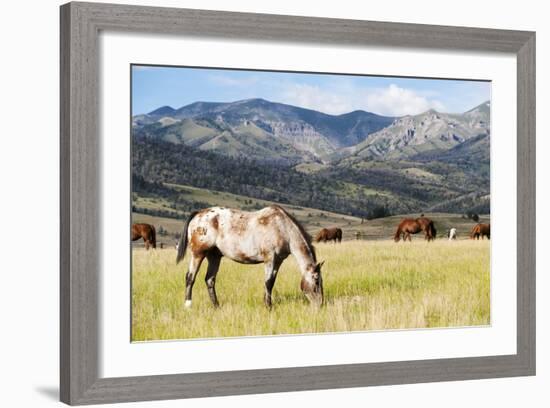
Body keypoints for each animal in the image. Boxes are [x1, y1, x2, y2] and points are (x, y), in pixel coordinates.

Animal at [176, 206, 324, 308]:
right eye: (316, 281)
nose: (320, 305)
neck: (282, 228)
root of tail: (198, 214)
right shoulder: (269, 258)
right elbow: (268, 282)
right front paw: (268, 306)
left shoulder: (278, 261)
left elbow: (271, 282)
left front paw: (267, 303)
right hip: (198, 254)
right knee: (190, 277)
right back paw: (188, 305)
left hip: (214, 257)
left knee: (209, 280)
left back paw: (216, 306)